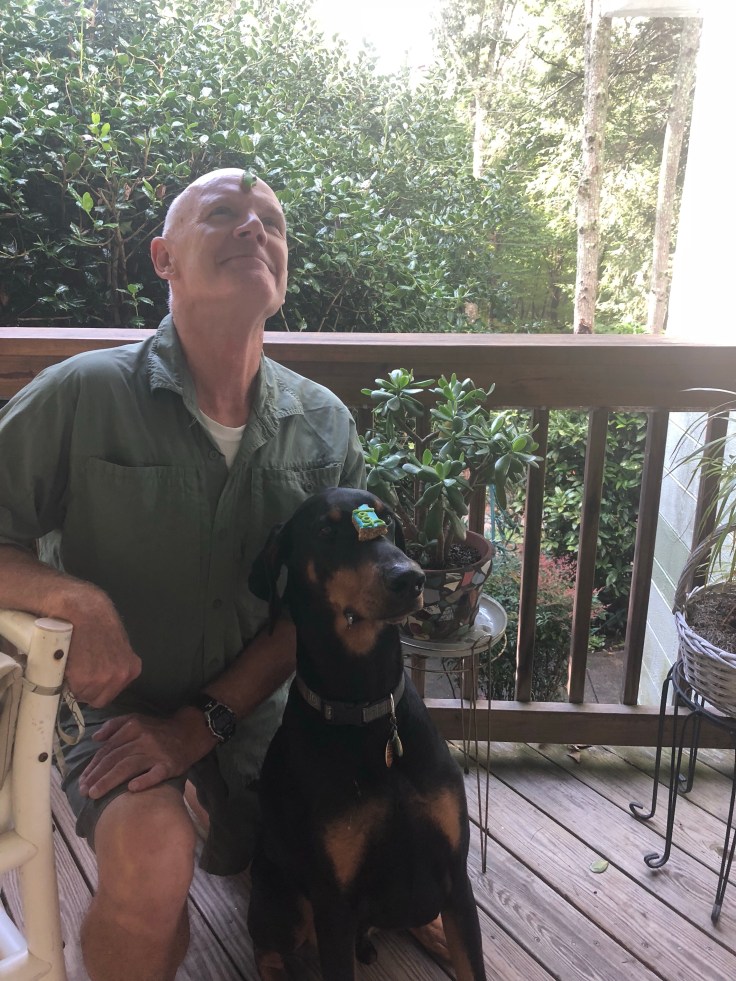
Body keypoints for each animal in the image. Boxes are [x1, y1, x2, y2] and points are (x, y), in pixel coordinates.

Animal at [247, 487, 487, 981]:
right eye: (325, 530)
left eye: (389, 520)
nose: (410, 578)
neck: (368, 709)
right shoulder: (334, 906)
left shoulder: (455, 873)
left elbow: (472, 962)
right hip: (281, 891)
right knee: (266, 945)